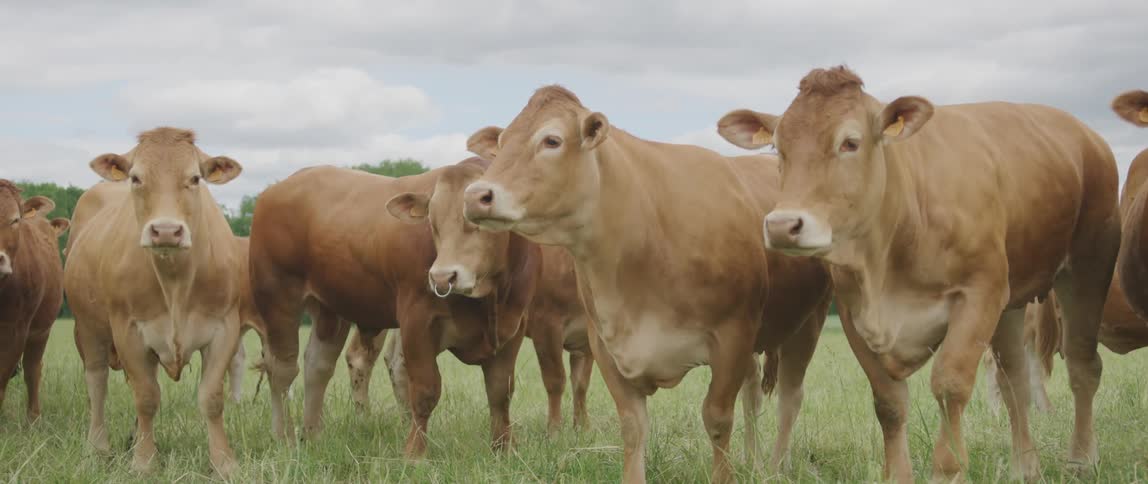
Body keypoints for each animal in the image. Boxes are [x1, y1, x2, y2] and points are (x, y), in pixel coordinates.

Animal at [65, 128, 246, 476]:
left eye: (194, 178)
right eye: (136, 178)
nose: (165, 231)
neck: (175, 281)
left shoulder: (225, 328)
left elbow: (211, 398)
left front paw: (224, 462)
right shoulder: (128, 330)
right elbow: (146, 397)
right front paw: (144, 462)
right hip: (88, 328)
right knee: (97, 383)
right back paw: (98, 447)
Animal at [249, 158, 540, 458]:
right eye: (432, 222)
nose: (441, 277)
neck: (490, 298)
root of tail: (280, 187)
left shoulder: (514, 327)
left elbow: (500, 391)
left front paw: (504, 448)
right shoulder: (416, 321)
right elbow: (425, 391)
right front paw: (415, 452)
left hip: (330, 308)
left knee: (318, 365)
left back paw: (313, 435)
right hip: (278, 298)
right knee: (282, 370)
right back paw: (284, 438)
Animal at [346, 245, 596, 435]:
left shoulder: (589, 337)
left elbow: (581, 384)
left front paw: (582, 429)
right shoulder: (547, 325)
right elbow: (556, 380)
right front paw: (554, 432)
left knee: (397, 362)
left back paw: (406, 422)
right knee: (359, 356)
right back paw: (364, 420)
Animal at [461, 86, 832, 484]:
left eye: (552, 140)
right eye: (501, 143)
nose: (476, 195)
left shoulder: (732, 336)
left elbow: (718, 419)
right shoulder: (604, 344)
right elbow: (632, 426)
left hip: (809, 321)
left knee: (790, 398)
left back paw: (777, 467)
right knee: (753, 390)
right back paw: (753, 461)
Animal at [716, 66, 1120, 482]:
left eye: (850, 142)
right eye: (778, 148)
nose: (782, 225)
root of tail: (1084, 133)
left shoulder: (979, 293)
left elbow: (950, 386)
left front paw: (948, 470)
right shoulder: (852, 312)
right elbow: (889, 402)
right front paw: (897, 474)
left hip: (1089, 265)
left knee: (1082, 365)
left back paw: (1081, 458)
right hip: (1012, 301)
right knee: (1015, 379)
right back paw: (1025, 466)